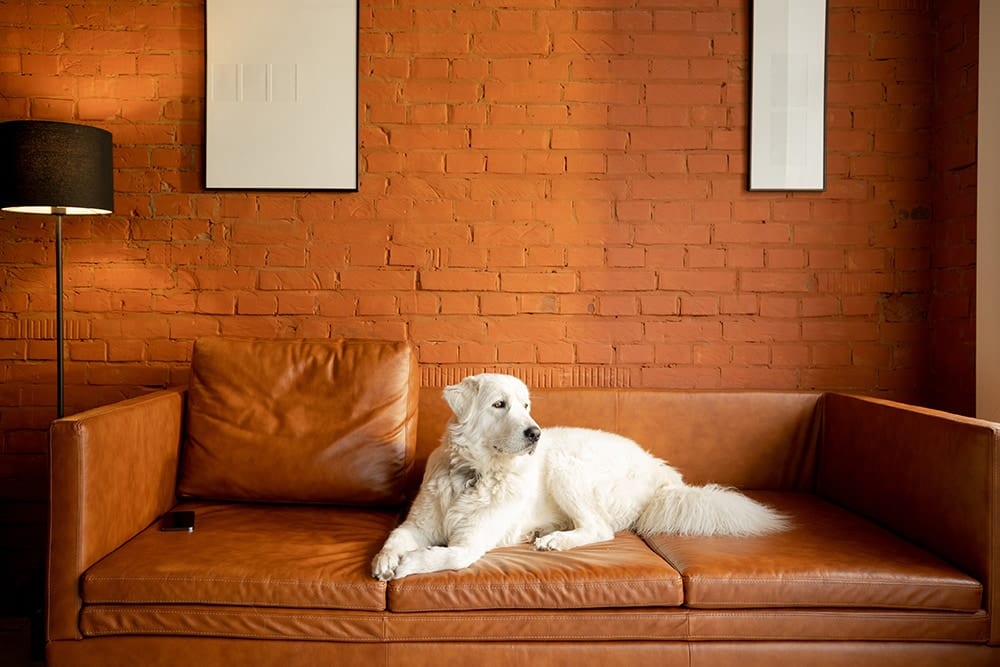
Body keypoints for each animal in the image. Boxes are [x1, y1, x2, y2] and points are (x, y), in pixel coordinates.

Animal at [372, 374, 784, 580]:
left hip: (566, 467)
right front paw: (385, 560)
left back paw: (555, 541)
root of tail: (658, 472)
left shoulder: (472, 542)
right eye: (499, 405)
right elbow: (395, 537)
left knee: (600, 529)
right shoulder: (417, 525)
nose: (535, 433)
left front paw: (410, 564)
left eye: (526, 406)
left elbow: (450, 556)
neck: (474, 471)